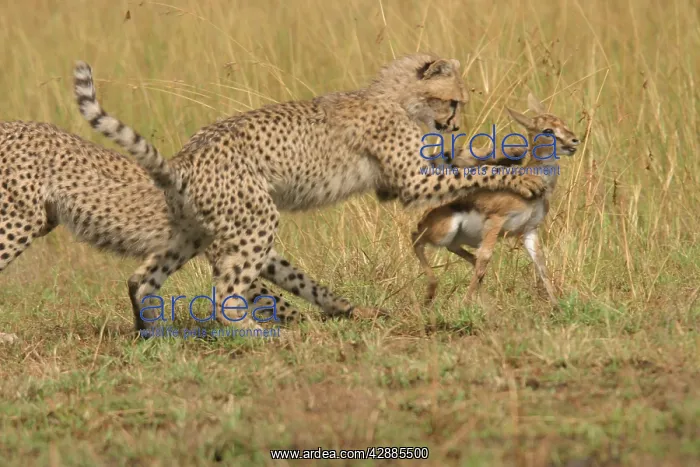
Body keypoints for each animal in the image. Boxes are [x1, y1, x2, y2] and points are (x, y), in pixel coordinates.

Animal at [411, 94, 580, 307]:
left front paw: (556, 305)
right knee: (415, 238)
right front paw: (465, 304)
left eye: (562, 122)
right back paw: (432, 292)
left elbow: (541, 266)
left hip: (458, 239)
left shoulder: (529, 230)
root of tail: (427, 217)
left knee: (466, 256)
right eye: (548, 130)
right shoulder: (496, 221)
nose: (574, 140)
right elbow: (485, 258)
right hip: (444, 232)